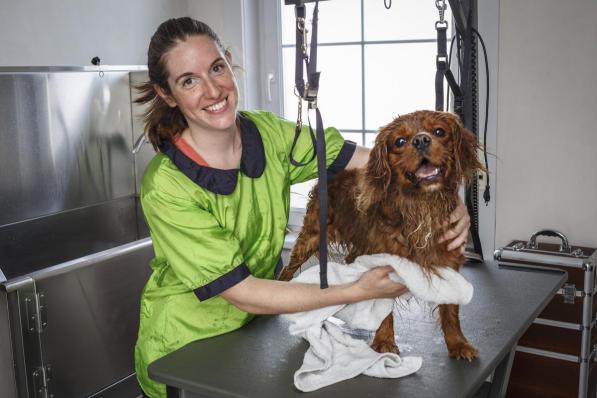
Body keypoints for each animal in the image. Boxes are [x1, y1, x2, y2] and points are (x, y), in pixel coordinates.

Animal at [280, 109, 484, 360]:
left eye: (439, 131)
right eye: (400, 141)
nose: (421, 140)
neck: (421, 206)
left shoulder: (449, 263)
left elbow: (451, 311)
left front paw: (457, 343)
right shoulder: (383, 264)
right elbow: (384, 311)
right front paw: (385, 342)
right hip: (310, 237)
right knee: (288, 268)